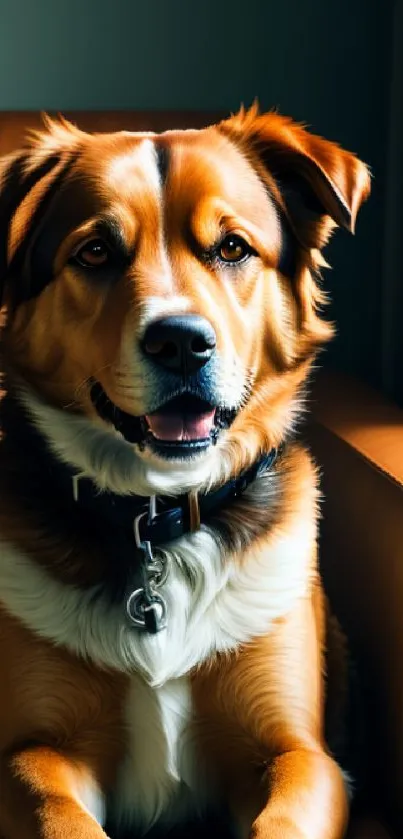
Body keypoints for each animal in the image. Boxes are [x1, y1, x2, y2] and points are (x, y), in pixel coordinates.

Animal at [0, 106, 370, 839]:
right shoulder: (32, 753)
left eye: (232, 248)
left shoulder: (301, 755)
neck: (157, 516)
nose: (180, 343)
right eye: (95, 252)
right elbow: (61, 815)